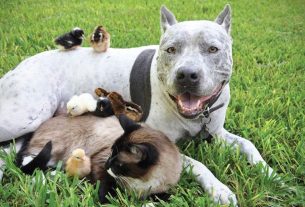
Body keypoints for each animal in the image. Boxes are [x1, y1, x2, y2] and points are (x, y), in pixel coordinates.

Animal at [15, 114, 182, 205]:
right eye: (110, 153)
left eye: (118, 163)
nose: (108, 163)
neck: (138, 183)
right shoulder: (99, 164)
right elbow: (106, 192)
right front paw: (108, 199)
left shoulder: (159, 190)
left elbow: (165, 197)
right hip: (60, 147)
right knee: (28, 163)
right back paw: (50, 178)